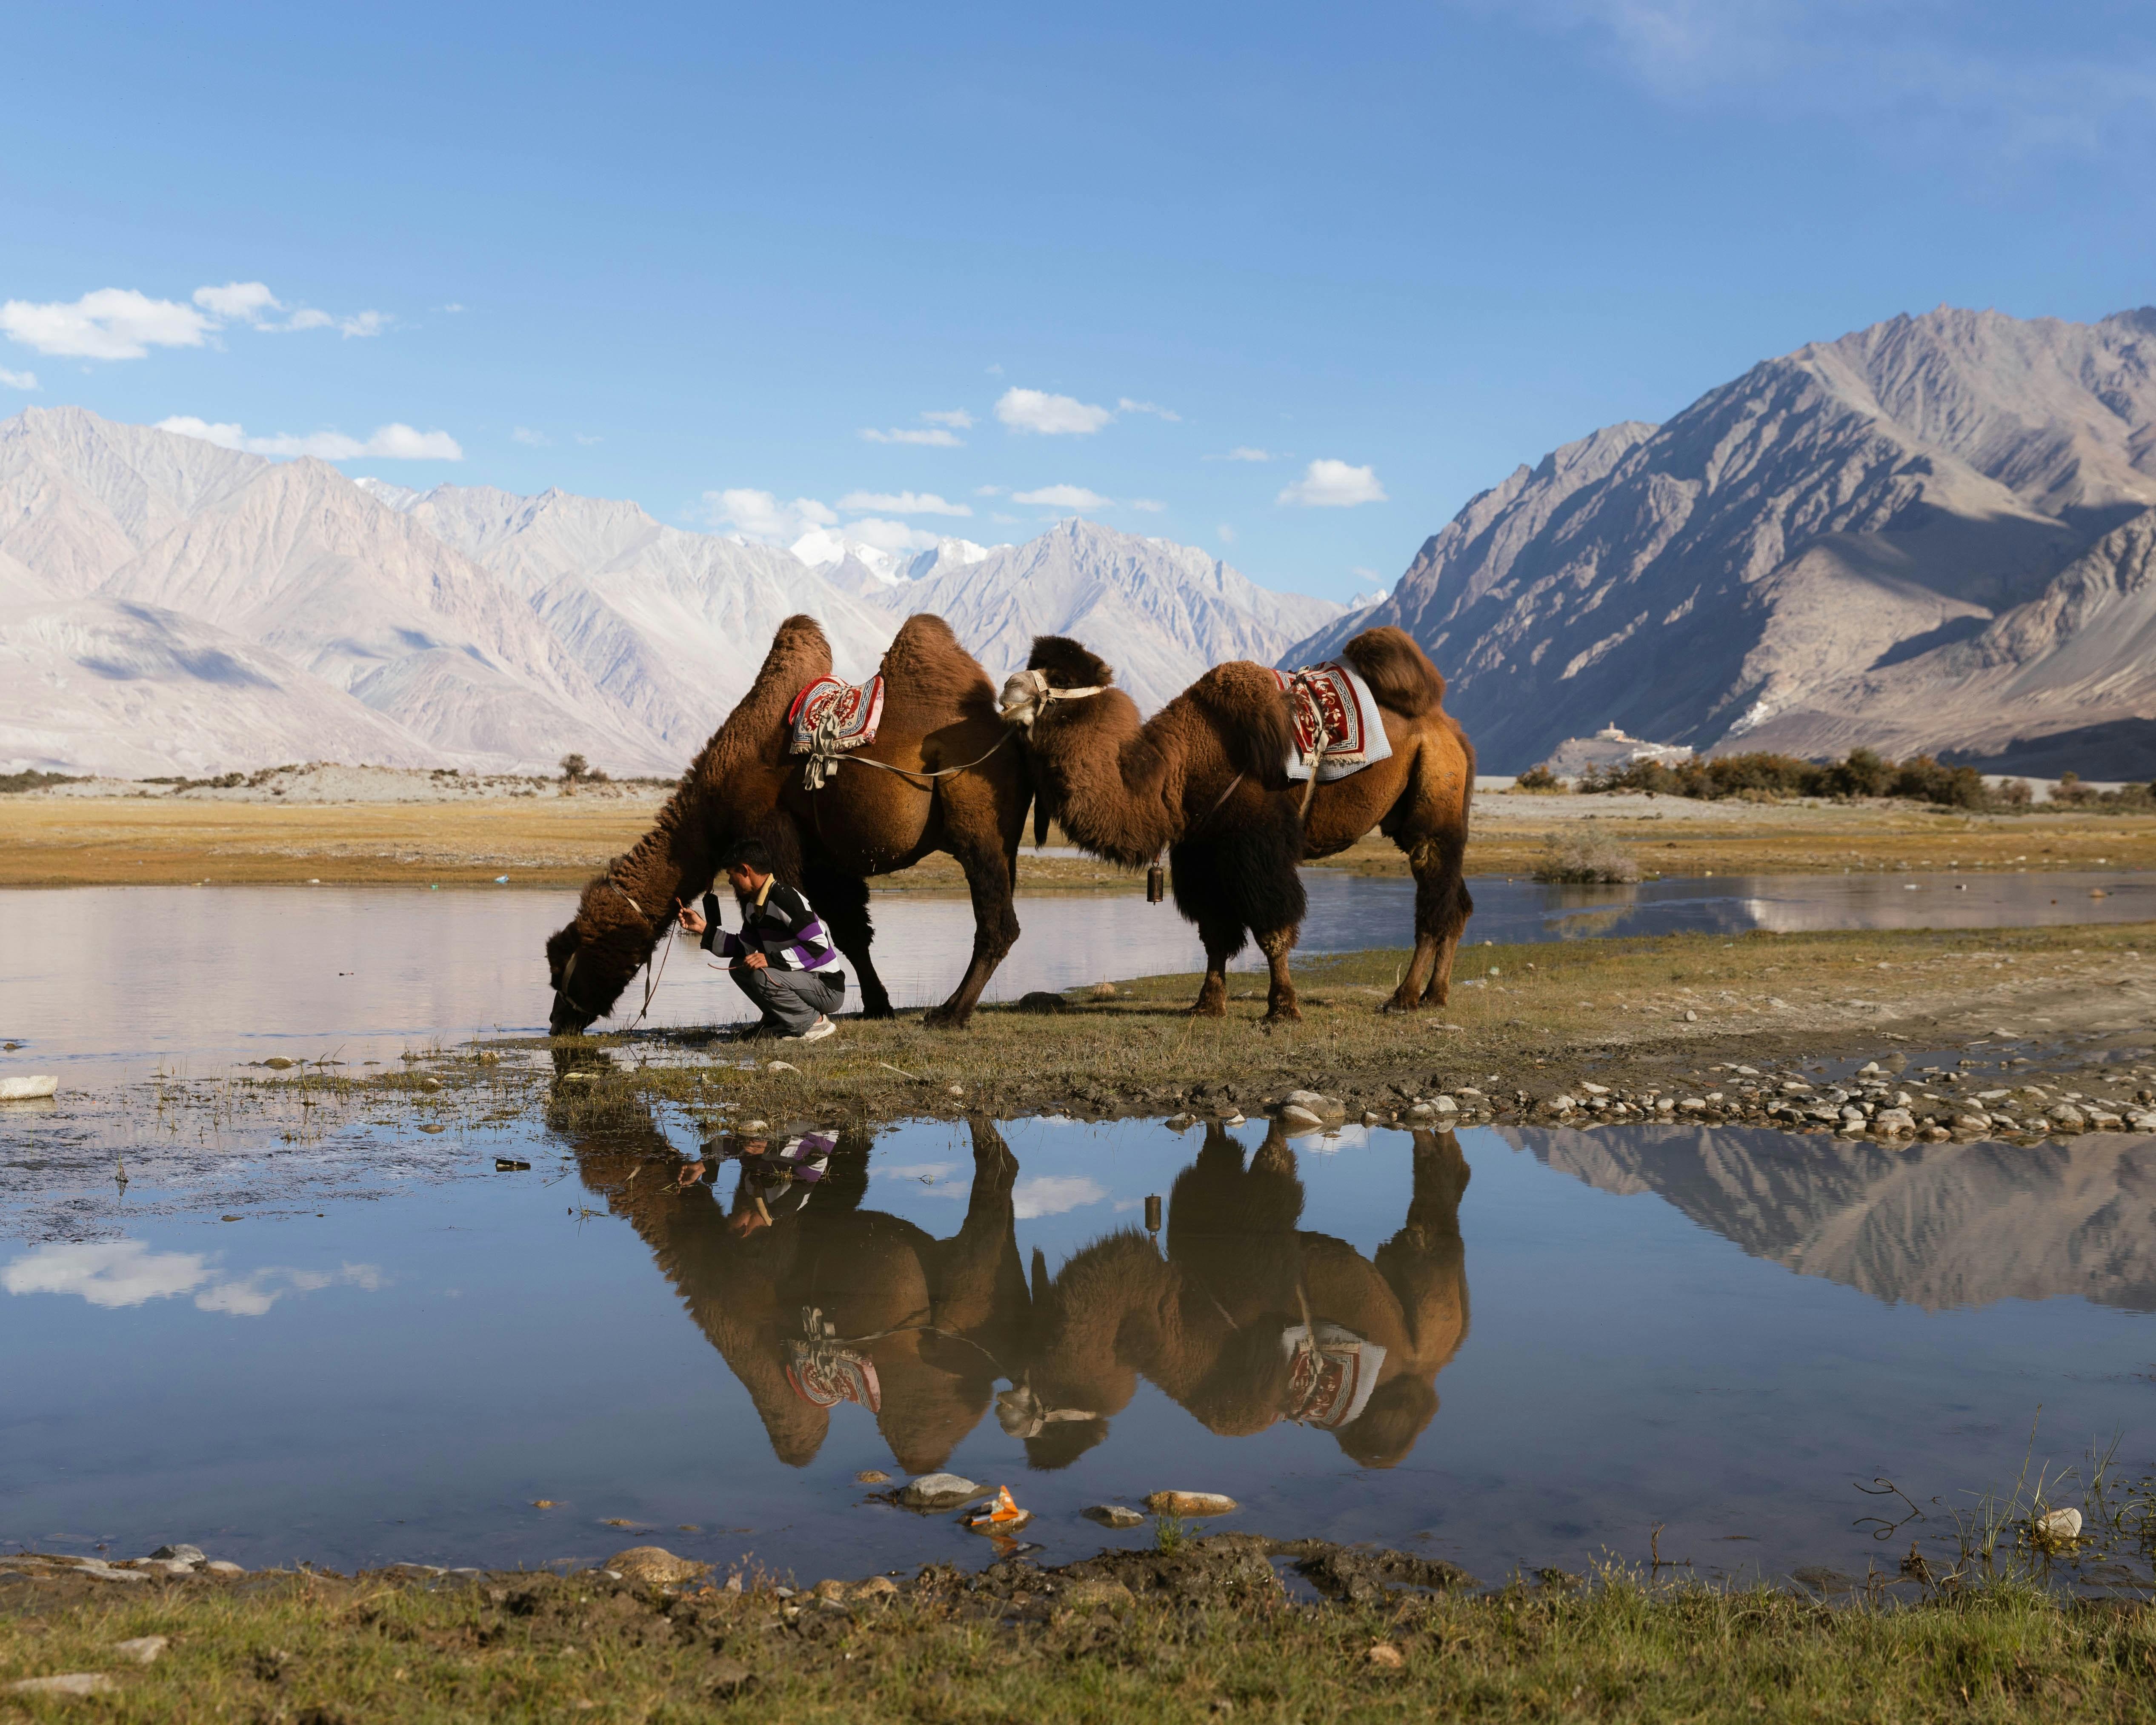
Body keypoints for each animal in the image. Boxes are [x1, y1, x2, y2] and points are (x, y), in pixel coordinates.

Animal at [545, 613, 1028, 1034]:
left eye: (565, 961)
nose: (556, 1021)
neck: (711, 802)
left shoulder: (767, 836)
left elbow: (770, 929)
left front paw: (766, 1019)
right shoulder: (822, 857)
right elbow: (850, 933)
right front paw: (877, 1006)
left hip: (975, 820)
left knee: (996, 923)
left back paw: (950, 1014)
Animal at [1000, 1120, 1471, 1470]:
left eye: (1053, 1417)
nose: (1007, 1413)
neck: (1182, 1316)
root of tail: (1425, 1371)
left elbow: (1273, 1162)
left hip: (1425, 1301)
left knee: (1430, 1232)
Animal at [1006, 626, 1474, 1021]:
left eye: (1060, 675)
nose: (1009, 690)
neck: (1180, 768)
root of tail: (1447, 725)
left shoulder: (1255, 844)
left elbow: (1272, 928)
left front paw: (1282, 1009)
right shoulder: (1200, 852)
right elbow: (1214, 933)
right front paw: (1206, 1005)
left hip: (1434, 803)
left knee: (1433, 900)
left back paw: (1403, 998)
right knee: (1457, 902)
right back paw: (1435, 995)